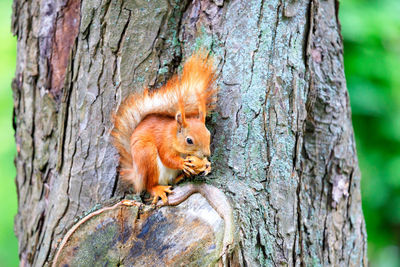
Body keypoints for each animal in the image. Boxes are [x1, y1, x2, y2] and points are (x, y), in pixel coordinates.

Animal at [111, 52, 217, 204]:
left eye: (208, 134)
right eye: (189, 140)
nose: (206, 154)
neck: (174, 135)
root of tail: (137, 177)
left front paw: (207, 165)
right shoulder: (164, 141)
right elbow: (167, 158)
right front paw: (182, 164)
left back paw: (182, 176)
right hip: (147, 156)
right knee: (149, 185)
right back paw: (158, 189)